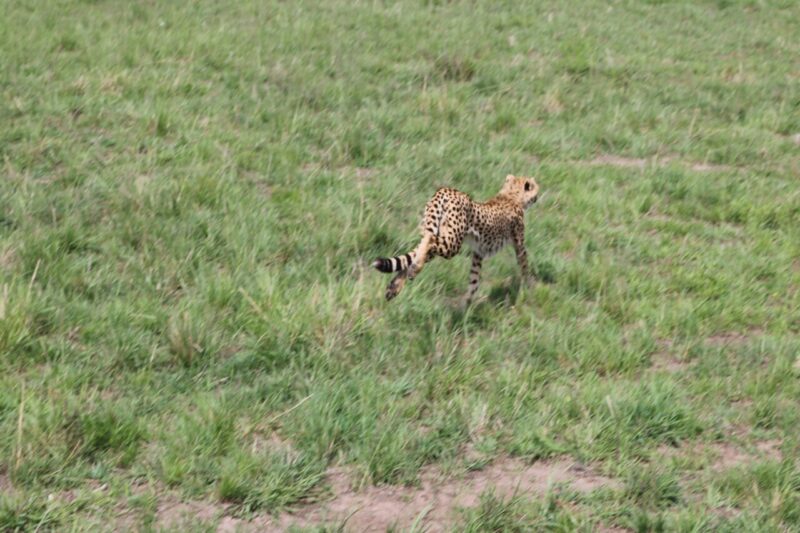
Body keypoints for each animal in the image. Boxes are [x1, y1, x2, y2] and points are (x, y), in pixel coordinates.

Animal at [374, 174, 536, 302]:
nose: (537, 195)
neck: (511, 195)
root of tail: (445, 190)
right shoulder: (519, 243)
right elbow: (524, 264)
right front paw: (528, 286)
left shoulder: (478, 252)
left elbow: (474, 279)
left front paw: (467, 306)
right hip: (452, 243)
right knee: (430, 241)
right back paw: (413, 270)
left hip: (437, 231)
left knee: (417, 252)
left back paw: (396, 285)